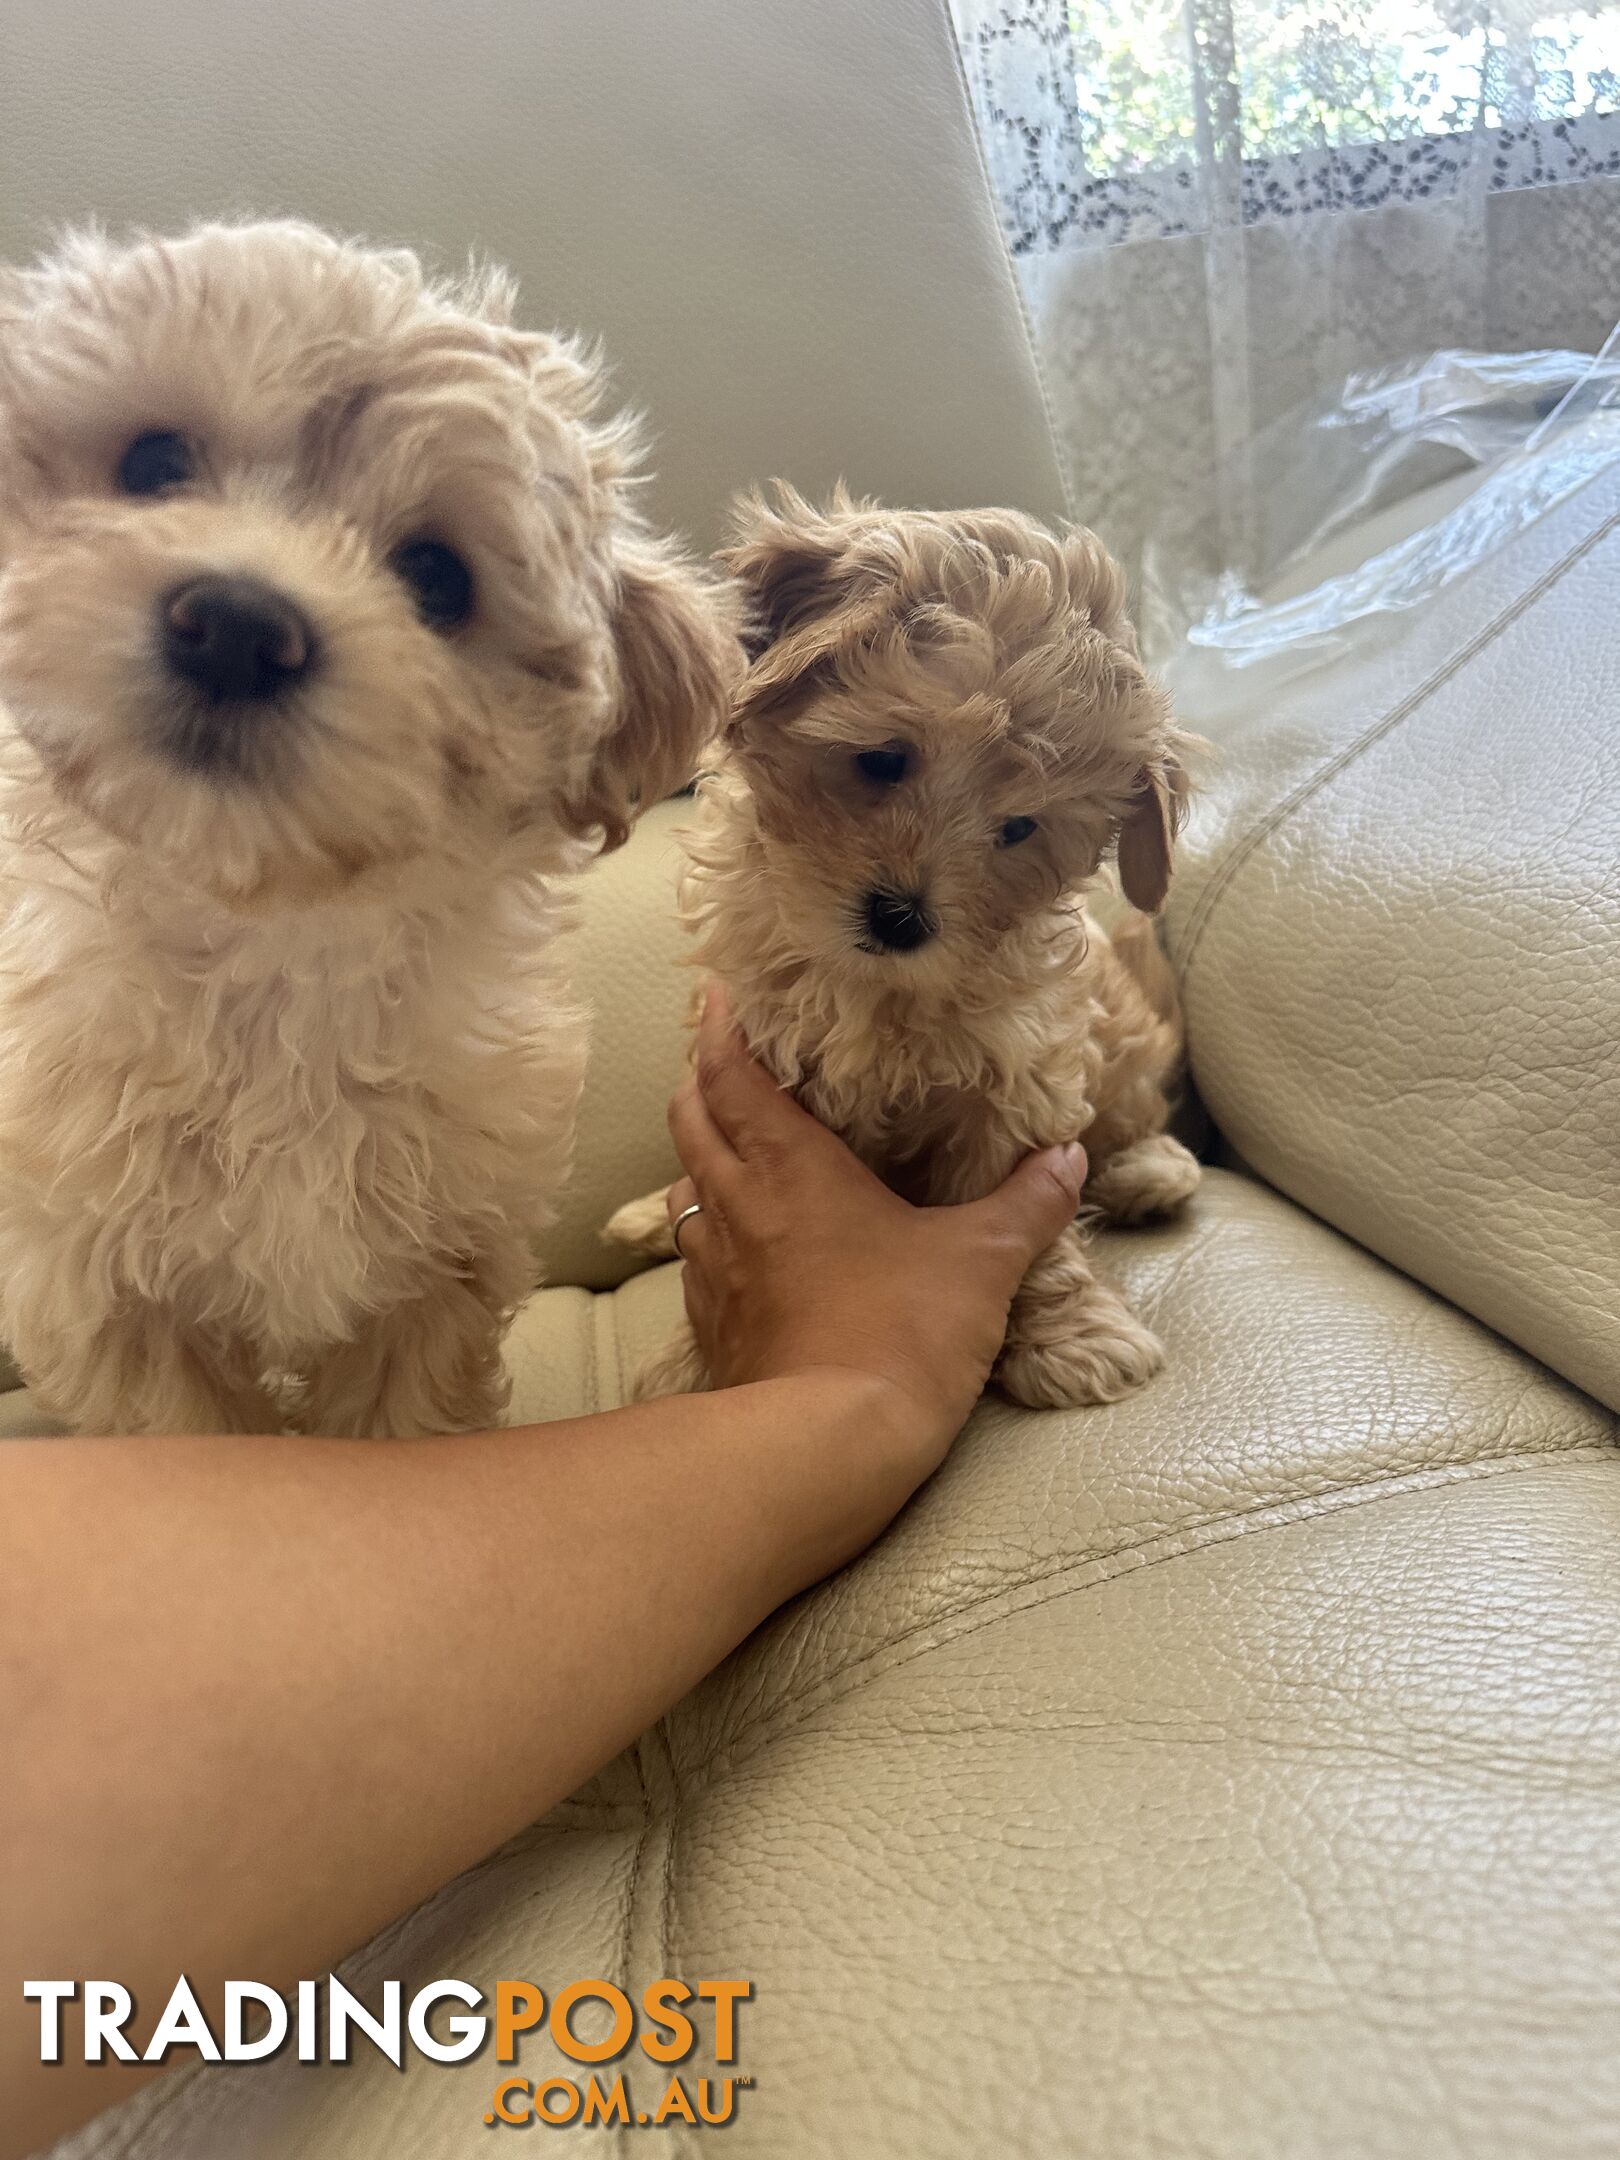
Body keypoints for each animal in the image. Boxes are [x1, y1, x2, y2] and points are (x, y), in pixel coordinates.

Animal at [0, 223, 743, 1434]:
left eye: (437, 577)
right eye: (153, 465)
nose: (237, 626)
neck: (272, 941)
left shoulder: (436, 1268)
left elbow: (401, 1424)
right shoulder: (107, 1290)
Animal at [609, 481, 1209, 1408]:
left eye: (1019, 828)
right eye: (883, 760)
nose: (900, 919)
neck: (874, 991)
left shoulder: (1019, 1078)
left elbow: (1027, 1228)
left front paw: (1069, 1334)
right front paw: (695, 1363)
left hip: (1123, 1051)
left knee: (1130, 1114)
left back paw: (1147, 1172)